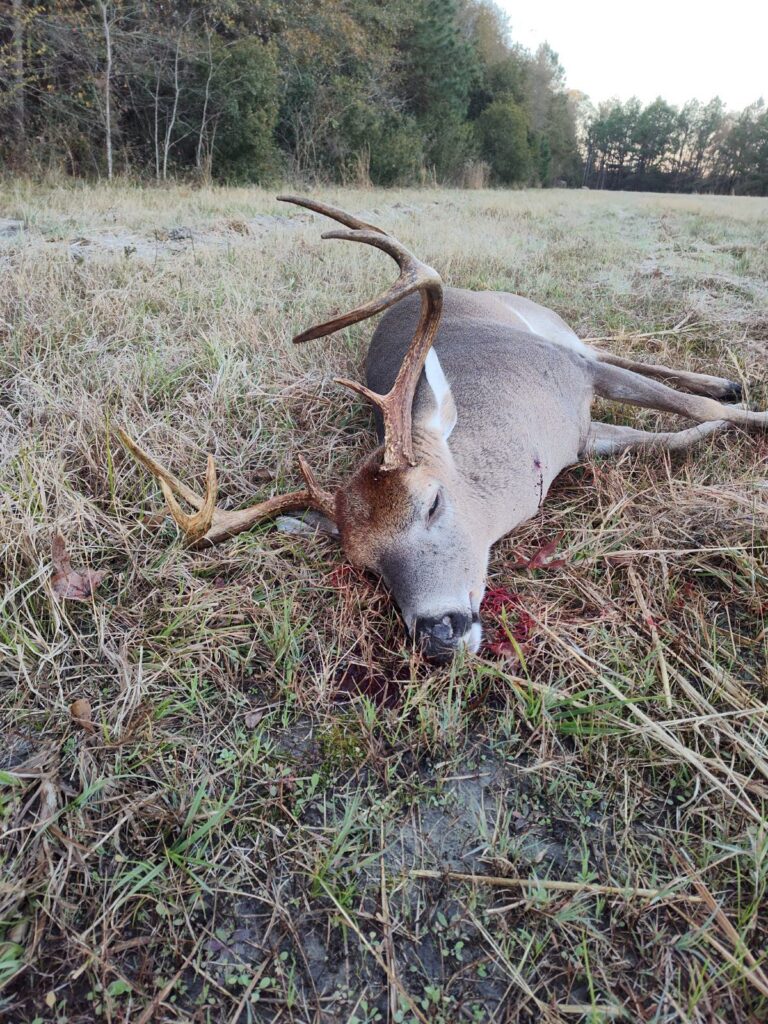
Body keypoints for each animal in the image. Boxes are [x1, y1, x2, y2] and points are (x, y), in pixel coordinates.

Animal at [118, 196, 766, 662]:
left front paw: (750, 417)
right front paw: (717, 426)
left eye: (432, 502)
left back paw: (727, 384)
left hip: (554, 331)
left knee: (605, 346)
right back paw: (726, 385)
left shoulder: (576, 378)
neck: (537, 438)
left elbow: (692, 411)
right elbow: (673, 436)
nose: (436, 634)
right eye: (366, 566)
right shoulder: (583, 438)